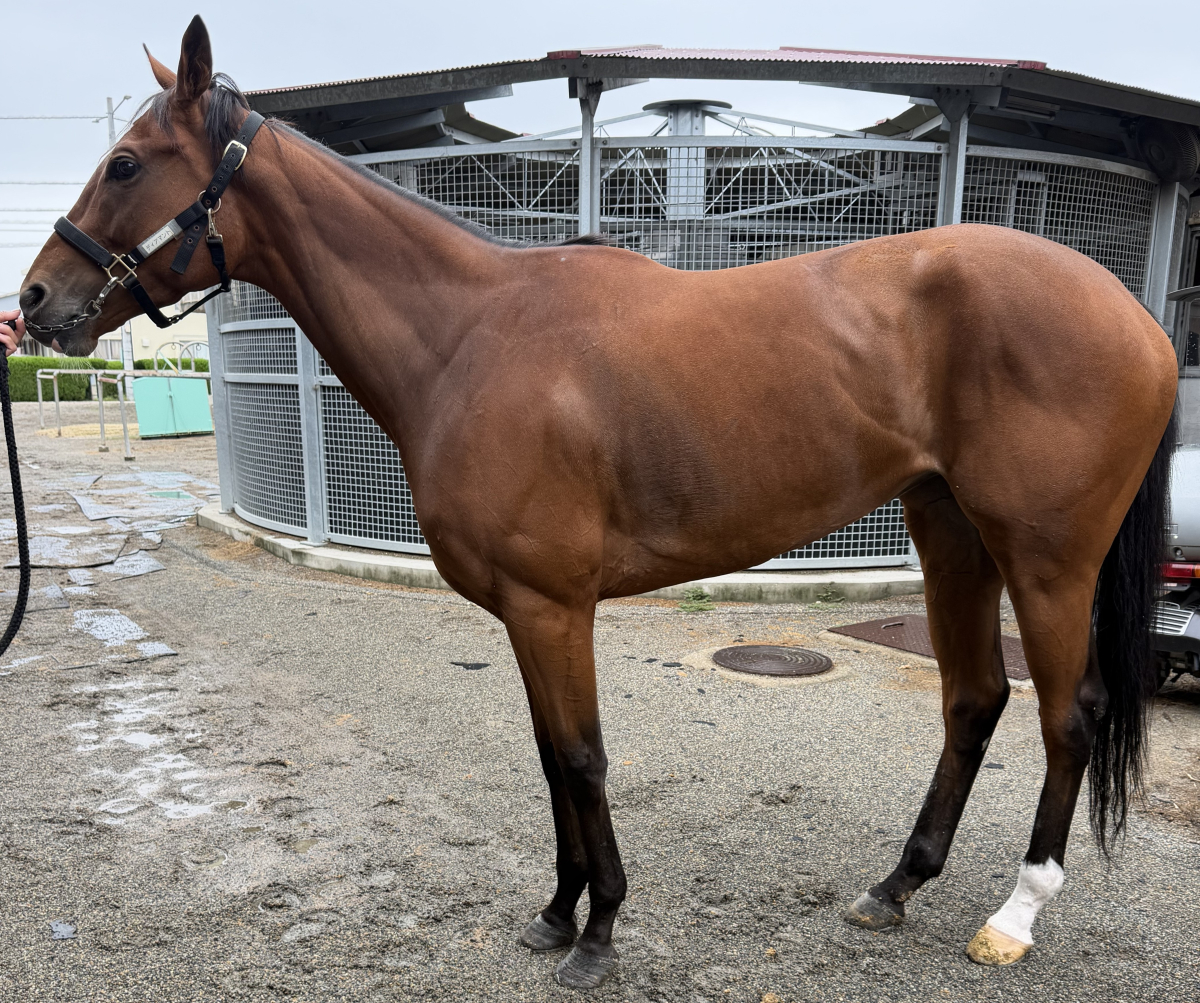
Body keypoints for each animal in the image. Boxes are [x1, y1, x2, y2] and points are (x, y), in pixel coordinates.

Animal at [17, 17, 1177, 989]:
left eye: (125, 163)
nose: (33, 303)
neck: (472, 338)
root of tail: (1138, 320)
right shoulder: (526, 612)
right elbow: (548, 756)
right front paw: (557, 911)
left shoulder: (552, 604)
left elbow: (580, 757)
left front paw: (602, 928)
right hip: (950, 531)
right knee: (973, 699)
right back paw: (896, 885)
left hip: (1047, 559)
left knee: (1069, 715)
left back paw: (1015, 915)